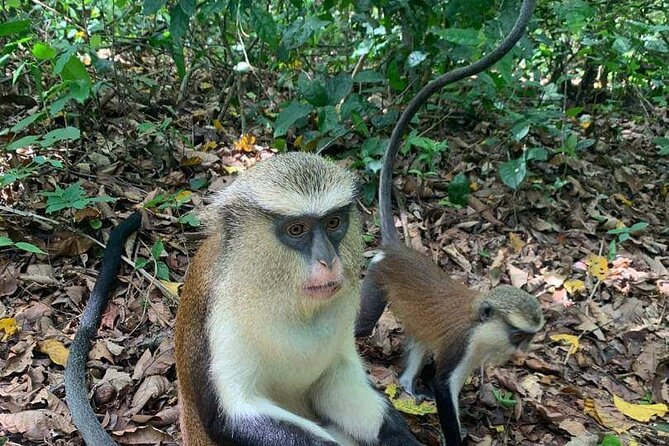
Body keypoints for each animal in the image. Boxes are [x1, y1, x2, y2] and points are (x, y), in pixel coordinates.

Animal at [174, 152, 423, 445]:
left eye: (333, 223)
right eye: (296, 229)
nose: (328, 260)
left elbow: (336, 381)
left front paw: (399, 435)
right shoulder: (220, 316)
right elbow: (234, 414)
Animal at [352, 0, 543, 444]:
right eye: (518, 335)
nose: (522, 352)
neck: (480, 319)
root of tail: (396, 249)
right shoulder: (462, 343)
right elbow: (443, 386)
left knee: (420, 339)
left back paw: (406, 385)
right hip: (375, 281)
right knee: (363, 326)